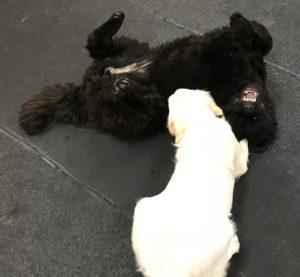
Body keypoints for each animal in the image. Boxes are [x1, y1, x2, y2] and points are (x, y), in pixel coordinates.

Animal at [18, 12, 276, 151]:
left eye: (251, 120)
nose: (248, 108)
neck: (240, 81)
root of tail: (85, 93)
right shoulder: (251, 55)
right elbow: (262, 39)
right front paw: (239, 25)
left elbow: (223, 46)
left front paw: (234, 34)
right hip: (129, 47)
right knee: (97, 43)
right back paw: (114, 22)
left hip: (141, 114)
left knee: (138, 106)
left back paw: (123, 89)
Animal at [131, 89, 248, 276]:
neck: (198, 123)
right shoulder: (240, 163)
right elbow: (244, 155)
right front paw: (245, 140)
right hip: (225, 232)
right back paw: (235, 244)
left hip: (142, 206)